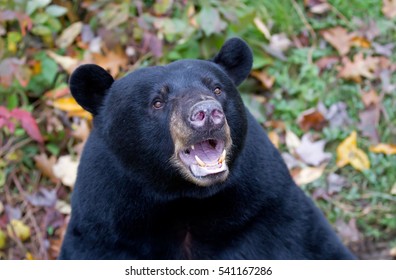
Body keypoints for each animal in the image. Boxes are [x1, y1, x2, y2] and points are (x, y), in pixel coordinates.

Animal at [59, 37, 356, 260]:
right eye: (157, 102)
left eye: (217, 89)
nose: (207, 113)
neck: (185, 197)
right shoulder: (105, 230)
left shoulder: (269, 210)